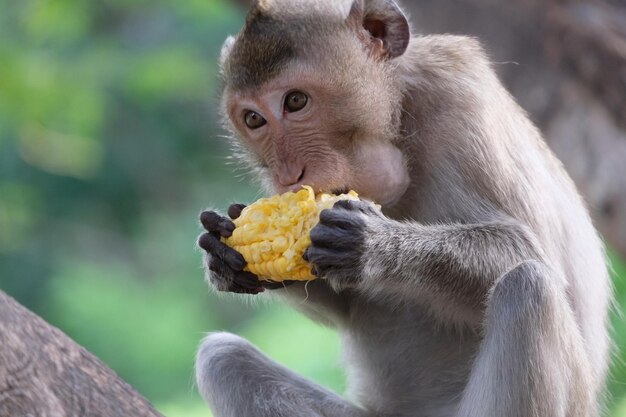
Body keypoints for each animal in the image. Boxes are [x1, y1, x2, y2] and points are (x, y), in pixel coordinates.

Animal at [194, 0, 608, 416]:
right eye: (254, 119)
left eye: (295, 101)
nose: (287, 175)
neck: (398, 121)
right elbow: (342, 305)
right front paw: (223, 257)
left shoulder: (460, 101)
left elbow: (534, 250)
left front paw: (374, 244)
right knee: (222, 357)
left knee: (530, 288)